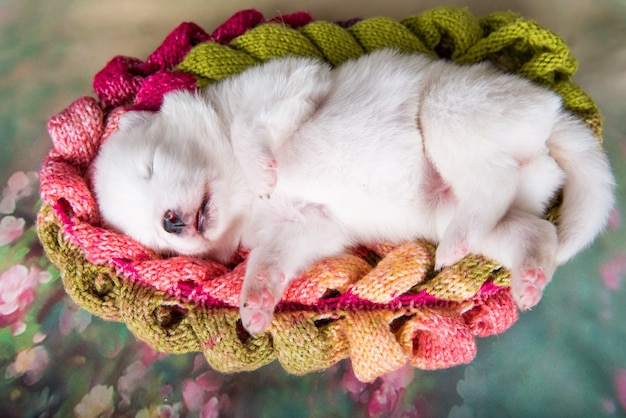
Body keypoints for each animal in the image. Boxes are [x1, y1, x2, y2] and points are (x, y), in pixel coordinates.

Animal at [90, 49, 612, 334]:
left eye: (149, 168)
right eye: (154, 235)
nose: (171, 222)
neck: (236, 192)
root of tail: (552, 118)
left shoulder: (290, 83)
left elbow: (245, 127)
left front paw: (263, 170)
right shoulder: (303, 225)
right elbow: (269, 262)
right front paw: (254, 306)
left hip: (449, 109)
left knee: (493, 181)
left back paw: (457, 246)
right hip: (463, 207)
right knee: (533, 229)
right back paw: (523, 274)